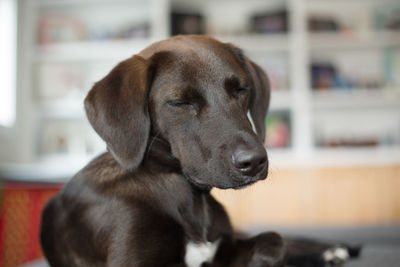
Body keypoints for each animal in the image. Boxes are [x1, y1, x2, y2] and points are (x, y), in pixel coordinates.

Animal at [40, 35, 358, 267]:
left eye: (241, 89)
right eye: (181, 102)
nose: (254, 162)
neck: (187, 194)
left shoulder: (226, 246)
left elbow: (274, 239)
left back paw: (336, 248)